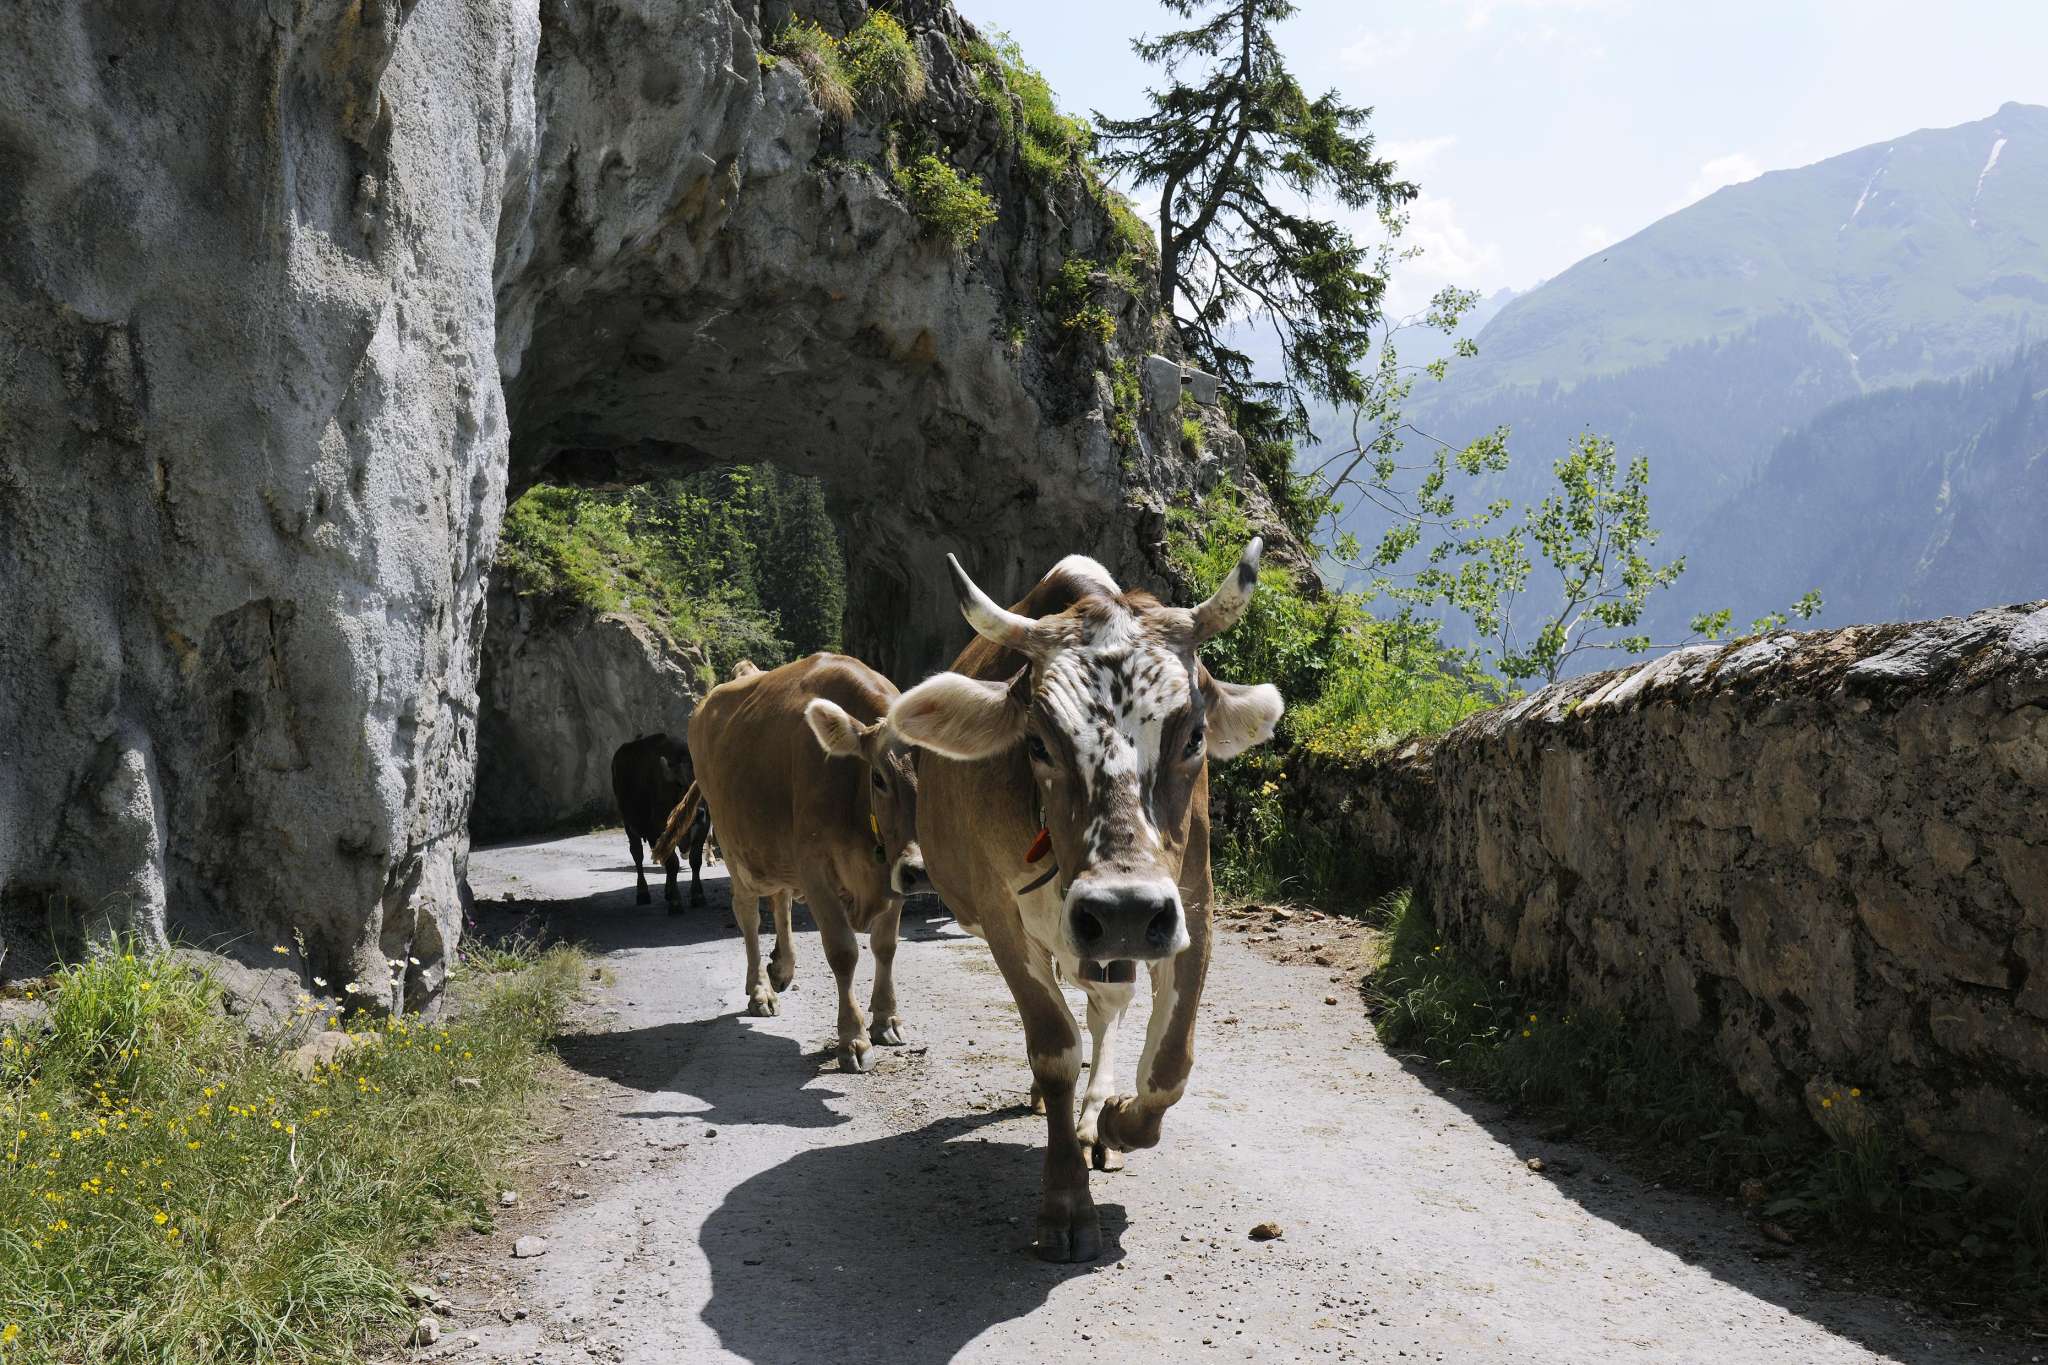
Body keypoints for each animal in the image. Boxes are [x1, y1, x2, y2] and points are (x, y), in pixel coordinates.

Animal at [610, 732, 708, 911]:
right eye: (679, 784)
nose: (699, 814)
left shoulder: (704, 826)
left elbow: (695, 860)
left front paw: (697, 896)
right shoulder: (656, 830)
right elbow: (672, 863)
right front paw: (676, 902)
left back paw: (668, 891)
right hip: (628, 824)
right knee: (637, 855)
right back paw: (642, 893)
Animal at [654, 653, 927, 1072]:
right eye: (879, 778)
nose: (920, 870)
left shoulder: (891, 868)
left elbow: (885, 946)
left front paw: (885, 1019)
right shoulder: (816, 867)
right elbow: (843, 951)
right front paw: (853, 1039)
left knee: (780, 900)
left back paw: (781, 968)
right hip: (735, 847)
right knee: (748, 913)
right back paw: (760, 990)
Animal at [887, 541, 1282, 1262]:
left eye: (1193, 737)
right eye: (1038, 742)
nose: (1124, 910)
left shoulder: (1191, 904)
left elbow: (1170, 1064)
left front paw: (1119, 1121)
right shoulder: (1002, 918)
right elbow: (1052, 1047)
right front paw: (1067, 1202)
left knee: (1106, 1006)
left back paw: (1096, 1113)